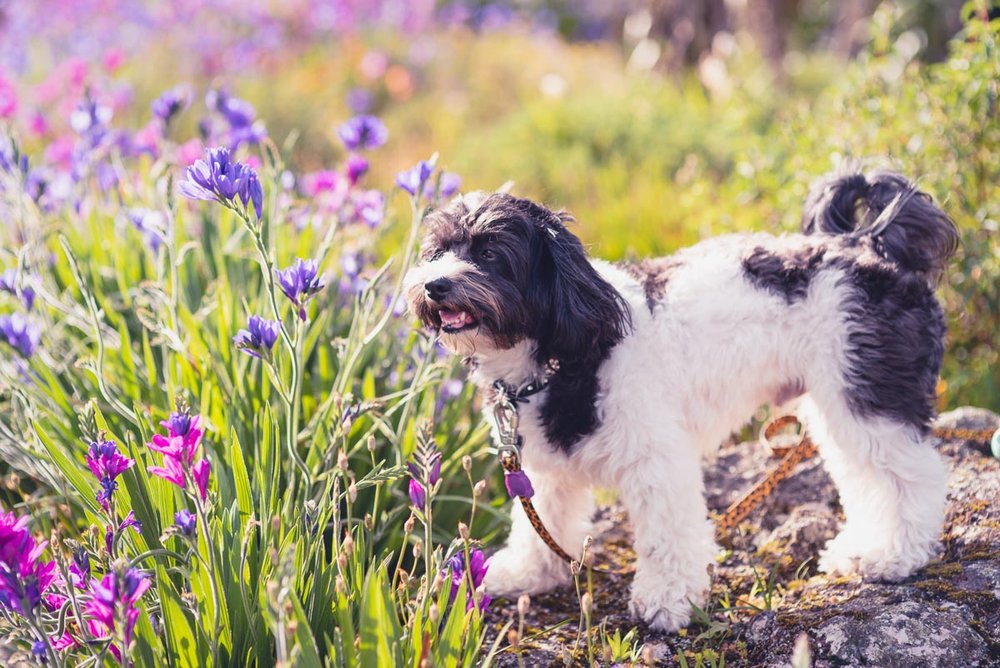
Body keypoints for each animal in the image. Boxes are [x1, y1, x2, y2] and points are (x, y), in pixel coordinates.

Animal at [404, 170, 952, 628]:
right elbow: (540, 521)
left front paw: (667, 601)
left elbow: (668, 534)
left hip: (868, 388)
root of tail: (868, 244)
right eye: (437, 251)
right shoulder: (543, 467)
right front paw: (527, 573)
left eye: (491, 253)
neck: (564, 353)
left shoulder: (657, 457)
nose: (434, 285)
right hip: (836, 402)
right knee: (863, 477)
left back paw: (894, 555)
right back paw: (859, 548)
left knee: (913, 477)